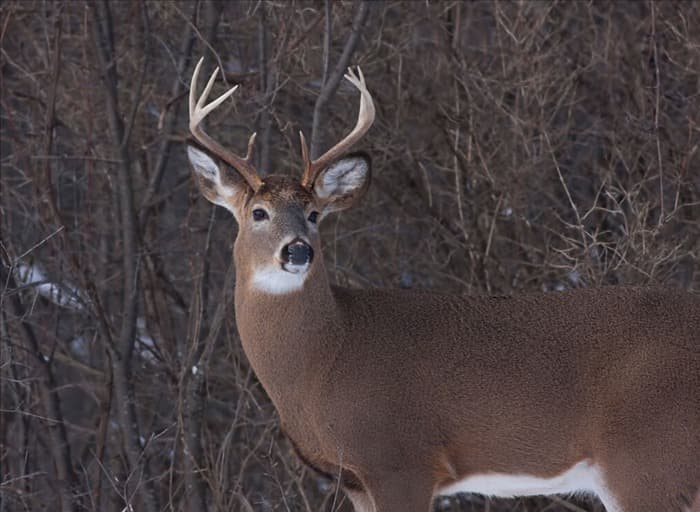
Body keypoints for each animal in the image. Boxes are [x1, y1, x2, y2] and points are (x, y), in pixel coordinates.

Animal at [186, 56, 700, 512]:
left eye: (314, 215)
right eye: (259, 213)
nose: (297, 251)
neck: (324, 356)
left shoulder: (401, 459)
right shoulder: (356, 481)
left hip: (648, 461)